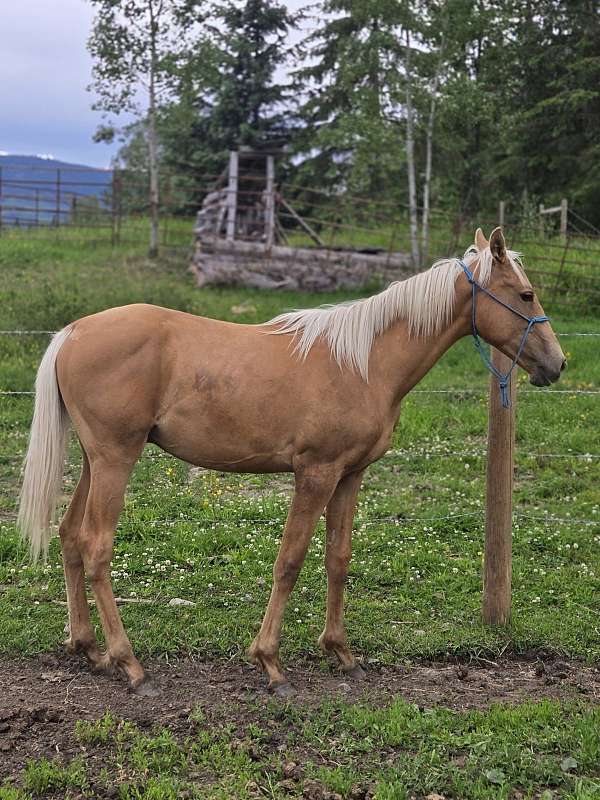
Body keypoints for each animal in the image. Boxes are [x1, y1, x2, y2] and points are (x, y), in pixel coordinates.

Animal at [17, 227, 565, 697]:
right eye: (525, 295)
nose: (558, 364)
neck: (365, 362)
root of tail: (72, 332)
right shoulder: (315, 474)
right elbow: (290, 561)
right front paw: (270, 663)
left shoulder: (349, 476)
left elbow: (338, 559)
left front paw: (341, 652)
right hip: (115, 459)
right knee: (96, 548)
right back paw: (130, 664)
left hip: (95, 461)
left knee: (69, 536)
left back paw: (89, 649)